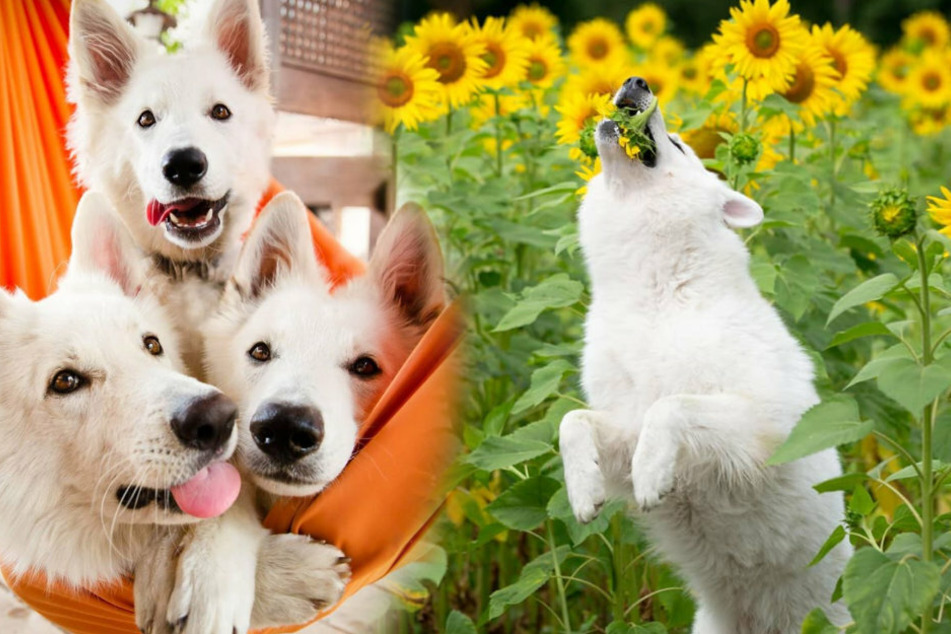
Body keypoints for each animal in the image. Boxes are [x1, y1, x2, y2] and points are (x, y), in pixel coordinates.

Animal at [560, 79, 852, 632]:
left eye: (676, 143)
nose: (636, 82)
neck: (658, 295)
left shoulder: (761, 431)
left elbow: (672, 406)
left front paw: (652, 476)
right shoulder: (623, 423)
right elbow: (572, 422)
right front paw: (583, 490)